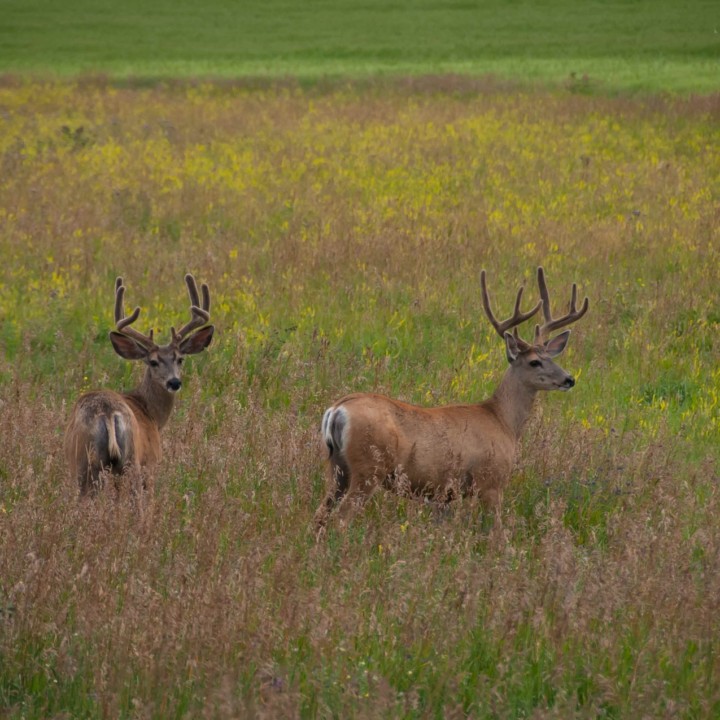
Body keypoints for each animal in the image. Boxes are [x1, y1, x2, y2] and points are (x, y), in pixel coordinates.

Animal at [64, 274, 214, 497]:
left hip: (83, 464)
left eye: (180, 359)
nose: (174, 382)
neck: (151, 414)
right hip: (132, 462)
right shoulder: (151, 461)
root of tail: (108, 412)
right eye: (153, 362)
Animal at [314, 267, 589, 530]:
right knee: (341, 519)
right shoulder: (491, 481)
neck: (503, 421)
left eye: (552, 357)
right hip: (368, 467)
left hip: (338, 469)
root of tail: (337, 410)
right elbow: (497, 533)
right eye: (534, 362)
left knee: (320, 515)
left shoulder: (446, 494)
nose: (569, 379)